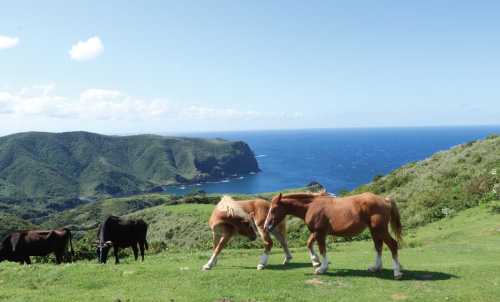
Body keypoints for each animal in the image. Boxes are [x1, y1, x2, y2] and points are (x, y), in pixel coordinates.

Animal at [264, 192, 404, 280]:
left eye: (273, 210)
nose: (266, 227)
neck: (311, 206)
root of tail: (383, 199)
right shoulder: (317, 232)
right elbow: (309, 243)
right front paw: (315, 261)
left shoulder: (320, 233)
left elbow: (322, 250)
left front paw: (322, 268)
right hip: (373, 230)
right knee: (378, 246)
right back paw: (375, 267)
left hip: (379, 230)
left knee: (392, 245)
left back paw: (397, 272)